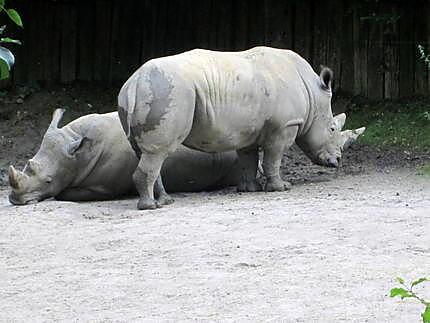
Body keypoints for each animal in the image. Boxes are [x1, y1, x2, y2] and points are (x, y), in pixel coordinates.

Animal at [8, 109, 240, 205]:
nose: (15, 200)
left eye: (48, 181)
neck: (78, 155)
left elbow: (64, 194)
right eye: (27, 165)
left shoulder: (103, 188)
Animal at [118, 46, 366, 211]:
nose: (337, 161)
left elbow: (248, 159)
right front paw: (281, 188)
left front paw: (249, 190)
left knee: (147, 153)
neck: (313, 94)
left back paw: (165, 201)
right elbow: (273, 158)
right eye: (332, 129)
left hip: (148, 93)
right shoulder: (284, 126)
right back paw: (151, 207)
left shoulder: (248, 130)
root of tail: (135, 82)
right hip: (172, 92)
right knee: (159, 151)